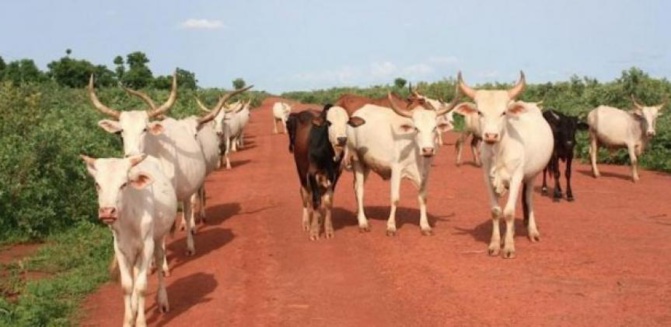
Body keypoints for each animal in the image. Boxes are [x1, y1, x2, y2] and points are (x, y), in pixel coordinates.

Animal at [80, 154, 178, 327]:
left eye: (124, 184)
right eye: (97, 184)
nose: (107, 212)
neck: (129, 217)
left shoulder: (147, 246)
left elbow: (141, 286)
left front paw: (140, 322)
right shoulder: (120, 248)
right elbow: (127, 286)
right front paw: (129, 319)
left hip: (158, 238)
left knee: (159, 261)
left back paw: (162, 300)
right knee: (135, 273)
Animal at [286, 105, 364, 241]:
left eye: (347, 122)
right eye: (329, 122)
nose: (342, 139)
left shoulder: (335, 175)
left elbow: (327, 201)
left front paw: (328, 230)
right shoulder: (312, 174)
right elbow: (316, 201)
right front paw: (314, 232)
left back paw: (318, 219)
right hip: (301, 171)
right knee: (305, 194)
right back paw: (306, 222)